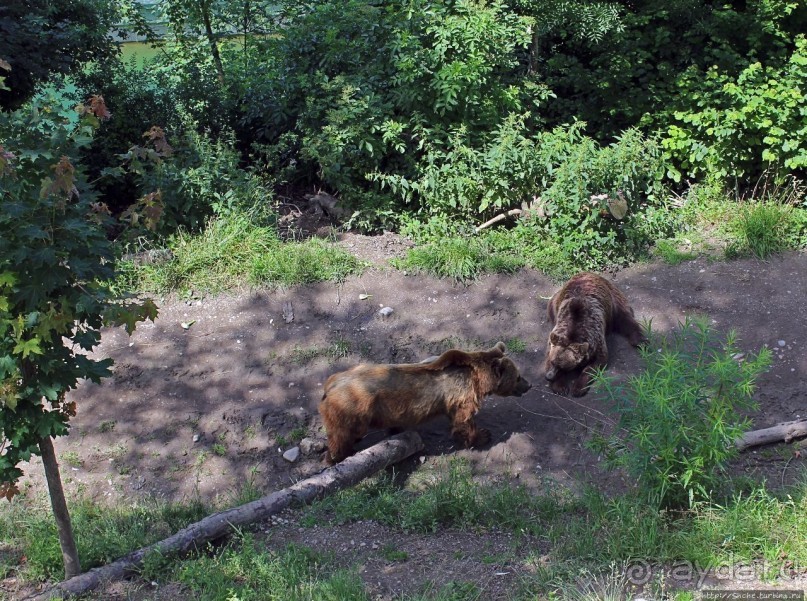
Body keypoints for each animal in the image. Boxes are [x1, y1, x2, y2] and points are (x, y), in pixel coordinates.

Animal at [318, 342, 532, 464]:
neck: (478, 379)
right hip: (351, 409)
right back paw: (337, 457)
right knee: (341, 436)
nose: (529, 385)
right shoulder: (461, 395)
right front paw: (482, 436)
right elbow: (464, 421)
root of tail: (331, 385)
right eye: (518, 376)